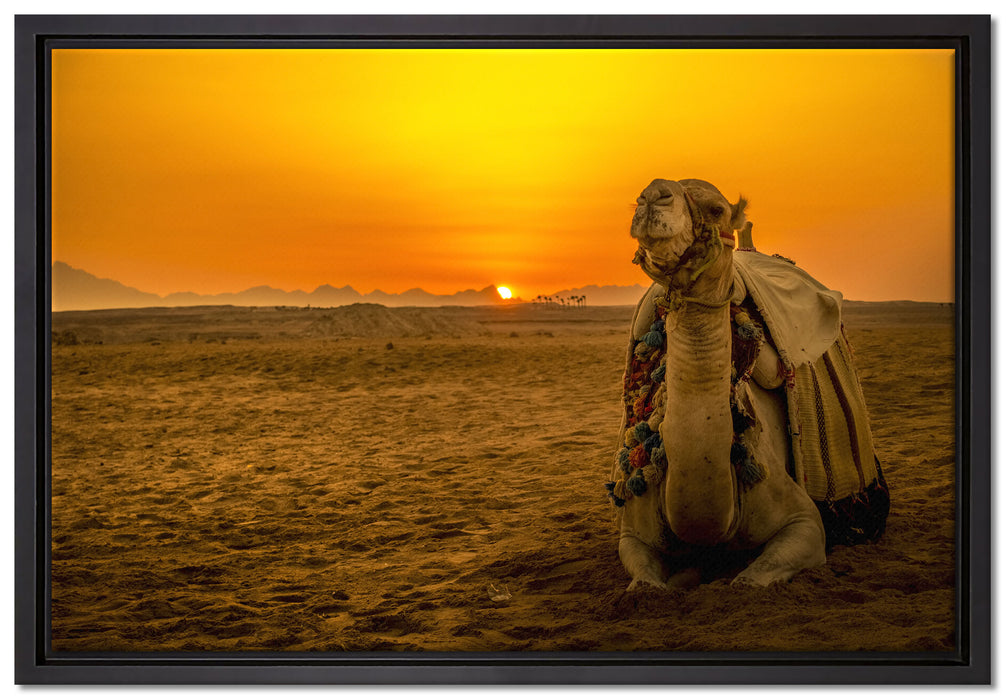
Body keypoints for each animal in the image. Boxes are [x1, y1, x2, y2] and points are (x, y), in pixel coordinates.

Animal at [609, 178, 887, 589]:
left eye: (716, 209)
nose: (653, 195)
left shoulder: (804, 522)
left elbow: (748, 582)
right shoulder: (633, 533)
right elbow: (644, 584)